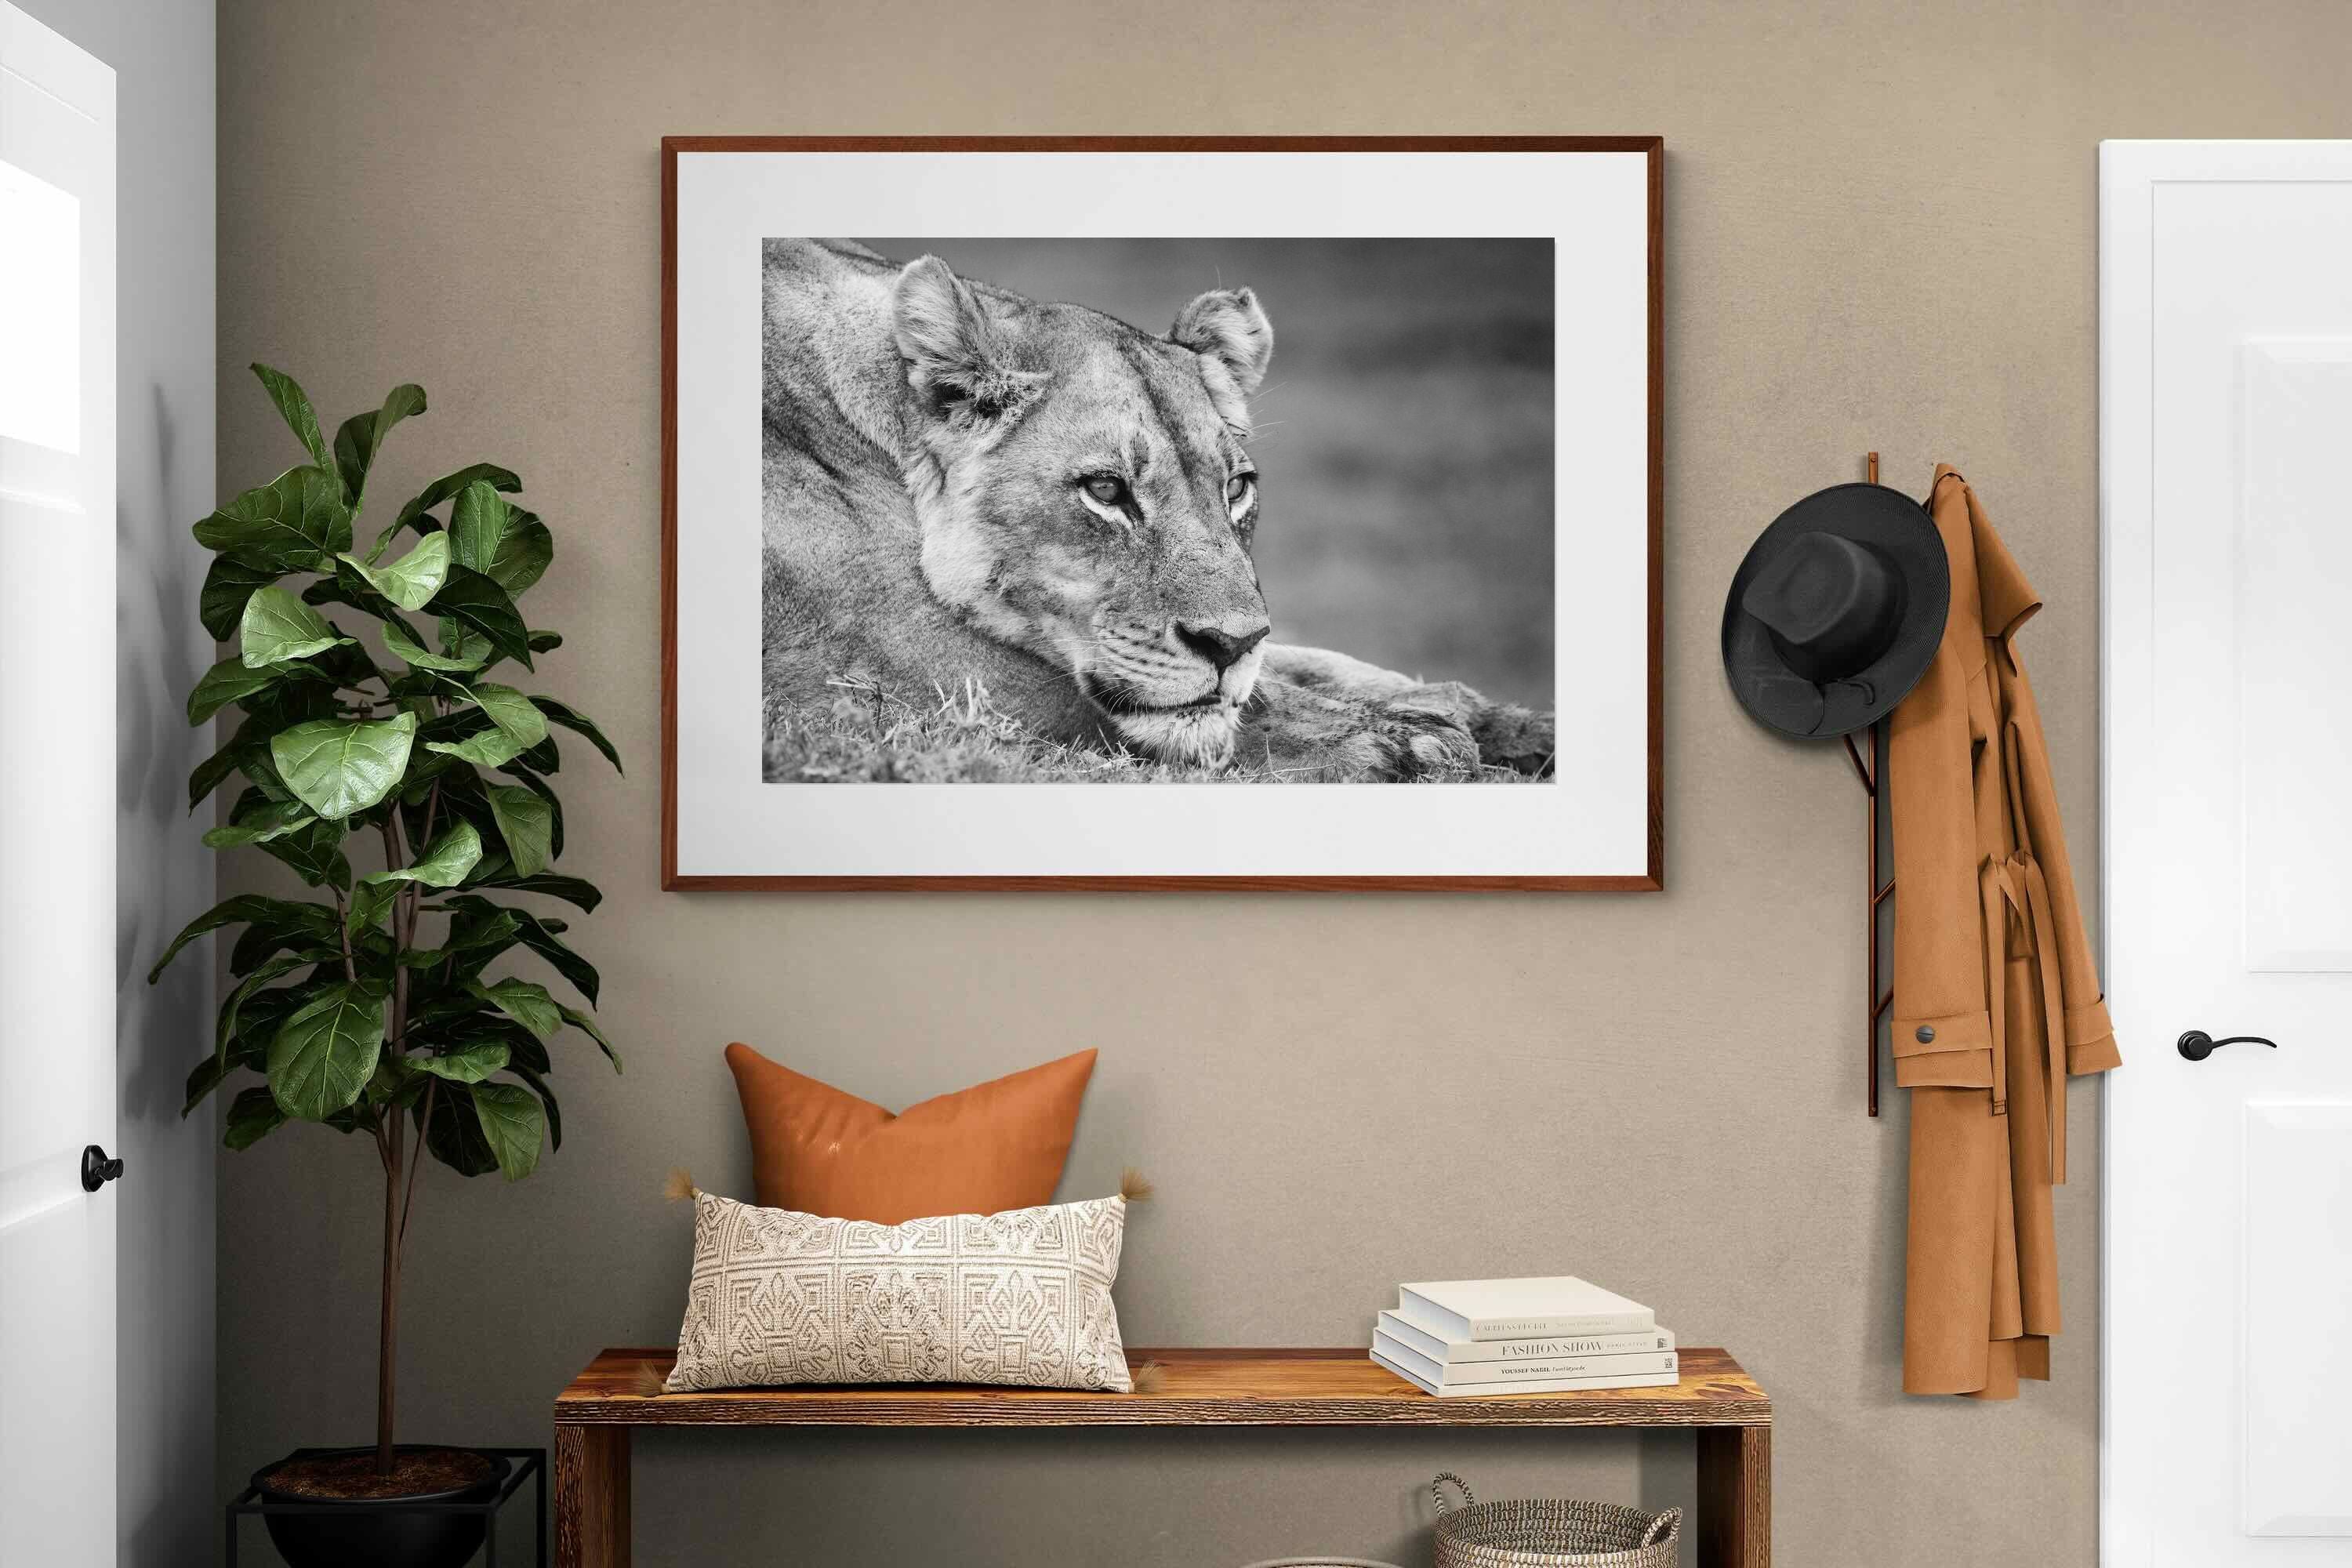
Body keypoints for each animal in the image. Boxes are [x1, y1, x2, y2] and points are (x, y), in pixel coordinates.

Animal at [759, 238, 1554, 781]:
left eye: (1236, 488)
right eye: (1107, 491)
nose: (1229, 646)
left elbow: (1313, 665)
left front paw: (1505, 721)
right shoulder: (893, 663)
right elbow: (1223, 708)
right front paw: (1408, 741)